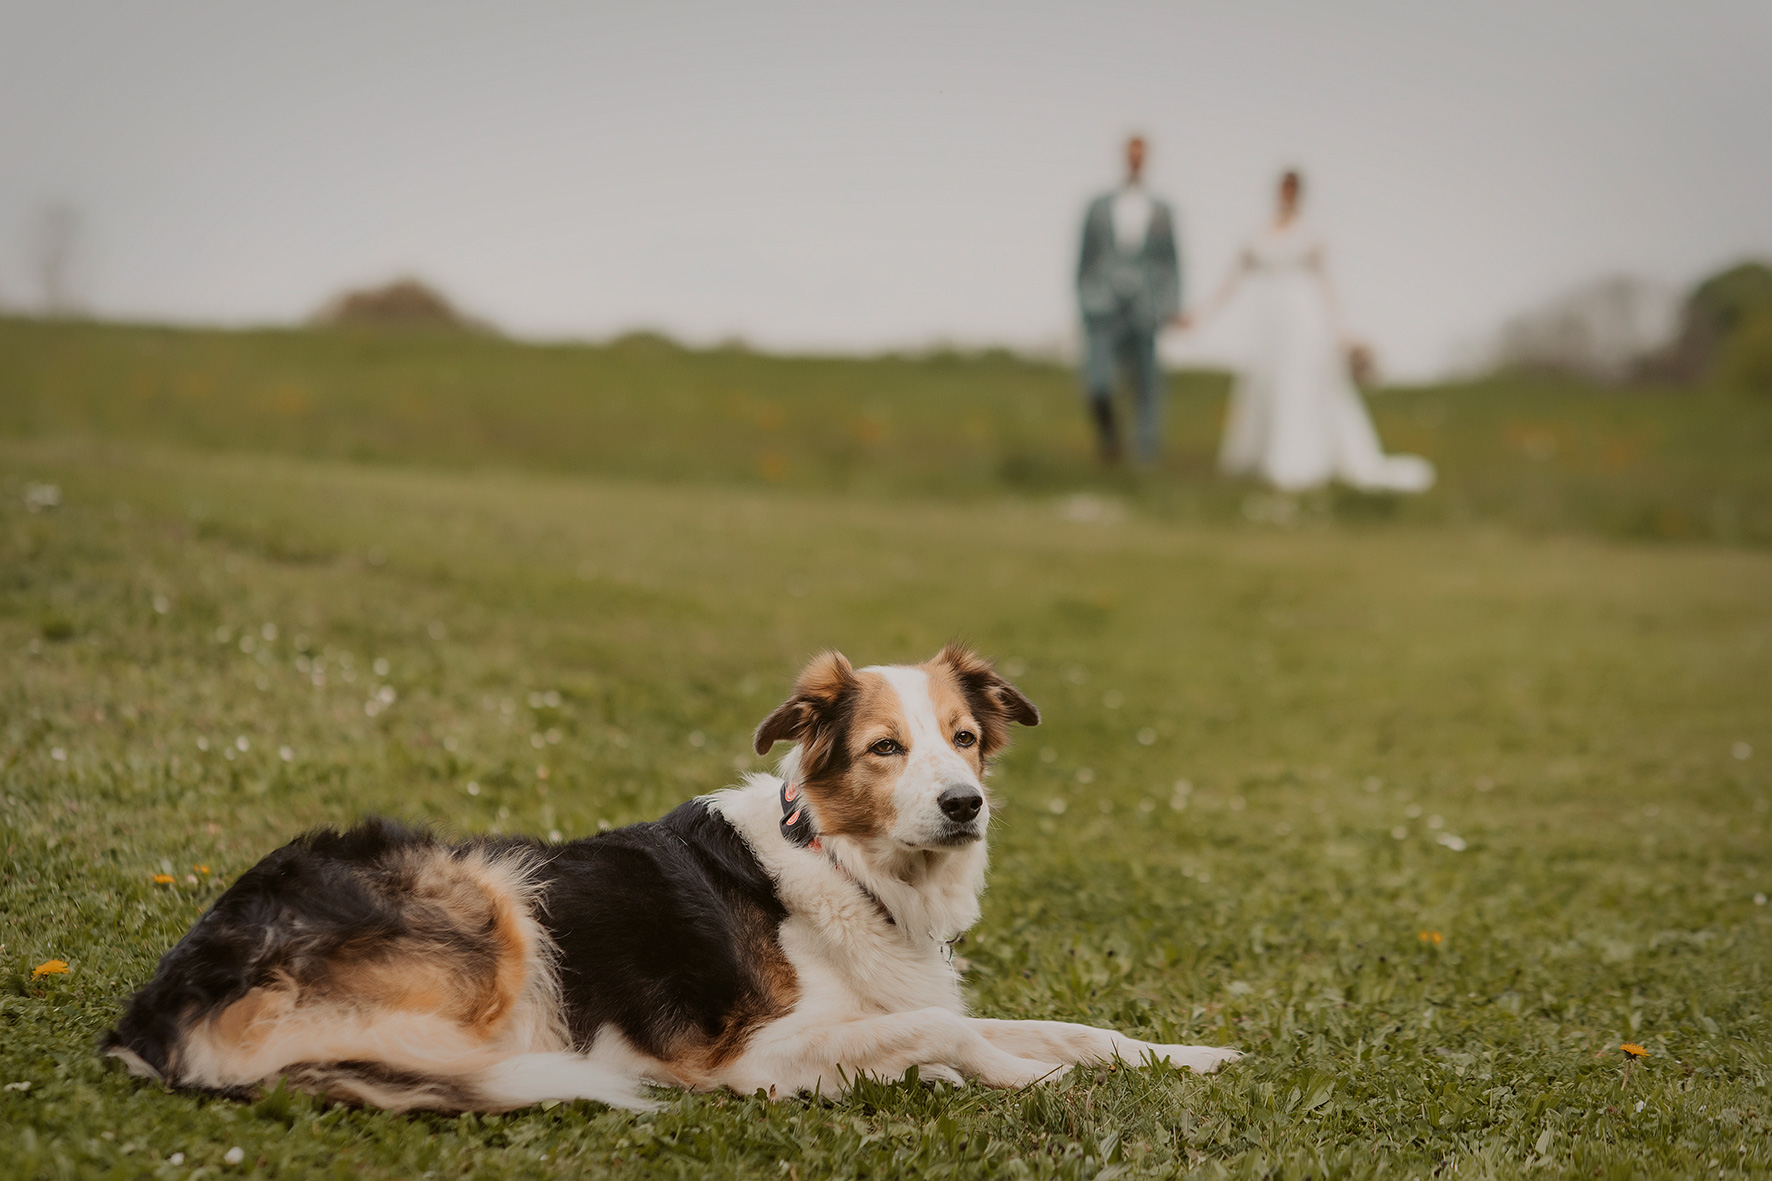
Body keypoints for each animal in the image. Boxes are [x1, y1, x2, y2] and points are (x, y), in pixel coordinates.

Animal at [110, 638, 1240, 1106]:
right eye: (884, 748)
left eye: (963, 739)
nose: (965, 803)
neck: (848, 870)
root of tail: (157, 1010)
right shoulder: (750, 1055)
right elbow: (956, 1031)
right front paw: (1028, 1078)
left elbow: (1065, 1024)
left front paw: (1182, 1055)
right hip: (495, 896)